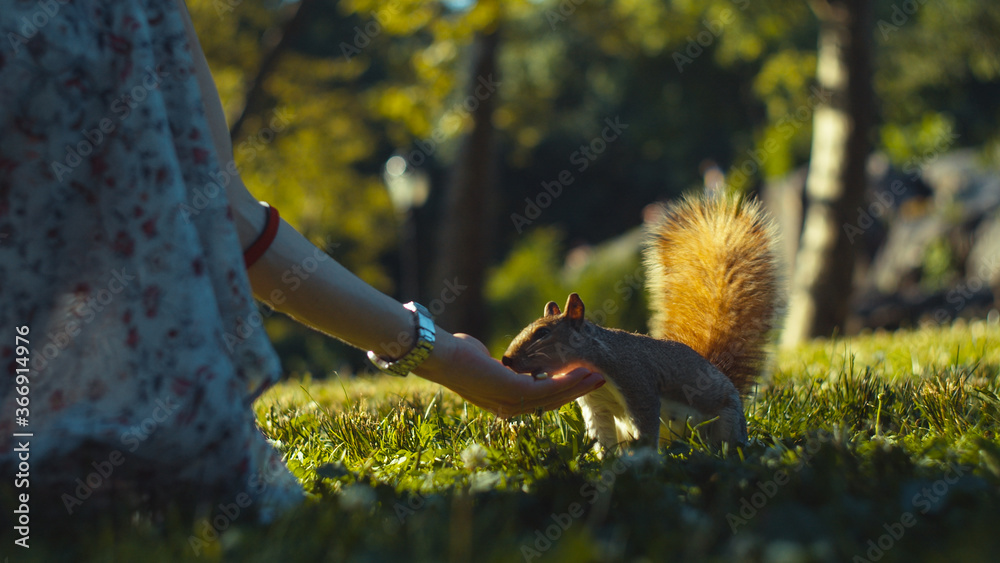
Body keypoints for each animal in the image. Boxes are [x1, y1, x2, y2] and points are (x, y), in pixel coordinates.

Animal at [500, 192, 780, 452]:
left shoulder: (636, 380)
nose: (506, 360)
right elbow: (603, 436)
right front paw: (609, 462)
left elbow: (645, 423)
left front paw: (641, 461)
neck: (596, 358)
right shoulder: (596, 404)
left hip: (726, 421)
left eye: (542, 333)